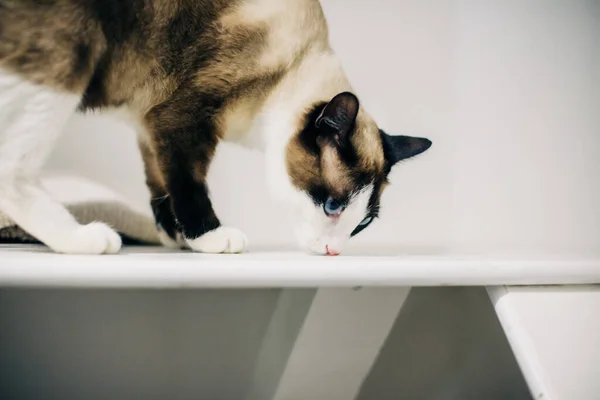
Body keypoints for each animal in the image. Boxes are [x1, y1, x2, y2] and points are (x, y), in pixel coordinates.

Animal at [0, 0, 432, 256]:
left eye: (363, 223)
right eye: (333, 206)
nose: (334, 251)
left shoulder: (148, 125)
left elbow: (161, 188)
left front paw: (177, 238)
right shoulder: (183, 118)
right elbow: (189, 185)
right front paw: (209, 237)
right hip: (70, 57)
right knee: (13, 169)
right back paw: (84, 239)